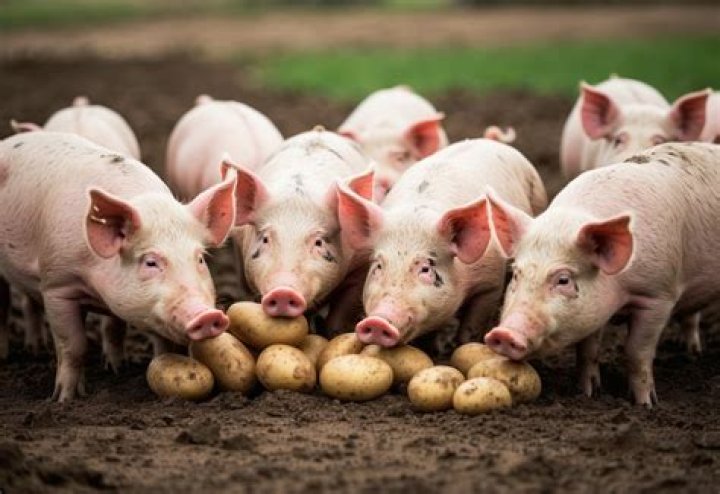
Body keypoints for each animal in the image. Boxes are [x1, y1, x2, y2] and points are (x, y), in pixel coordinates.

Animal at [0, 131, 237, 401]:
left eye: (199, 258)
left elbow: (118, 330)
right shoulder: (56, 286)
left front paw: (117, 369)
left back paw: (37, 349)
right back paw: (7, 356)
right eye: (150, 262)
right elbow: (73, 345)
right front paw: (65, 399)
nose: (207, 315)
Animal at [228, 127, 374, 330]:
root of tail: (319, 129)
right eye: (265, 239)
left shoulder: (361, 266)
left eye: (318, 242)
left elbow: (339, 316)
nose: (283, 292)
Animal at [483, 142, 720, 406]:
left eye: (563, 280)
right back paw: (690, 351)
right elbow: (588, 351)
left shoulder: (659, 295)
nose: (503, 333)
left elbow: (636, 352)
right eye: (516, 274)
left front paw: (646, 404)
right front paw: (588, 393)